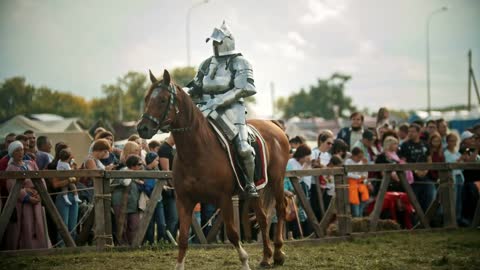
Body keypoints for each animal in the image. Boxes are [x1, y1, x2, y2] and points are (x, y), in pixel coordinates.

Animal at [137, 70, 290, 270]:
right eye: (147, 98)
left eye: (162, 100)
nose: (142, 128)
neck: (197, 152)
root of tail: (274, 126)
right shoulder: (184, 201)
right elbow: (183, 238)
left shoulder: (224, 199)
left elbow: (232, 233)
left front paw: (245, 262)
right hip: (257, 190)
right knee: (263, 218)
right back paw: (266, 258)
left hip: (276, 180)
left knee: (280, 208)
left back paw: (278, 253)